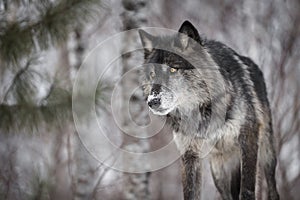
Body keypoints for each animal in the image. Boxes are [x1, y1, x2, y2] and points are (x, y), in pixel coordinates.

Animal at [138, 21, 278, 199]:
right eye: (152, 74)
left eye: (173, 69)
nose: (153, 101)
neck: (201, 110)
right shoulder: (190, 154)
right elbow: (190, 193)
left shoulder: (248, 135)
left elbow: (247, 190)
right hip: (219, 171)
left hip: (266, 156)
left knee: (272, 187)